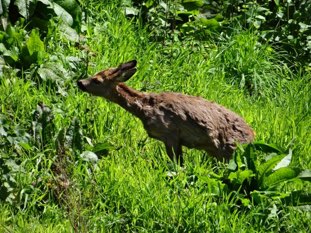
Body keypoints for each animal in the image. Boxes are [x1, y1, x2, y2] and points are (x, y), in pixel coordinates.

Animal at [78, 60, 256, 166]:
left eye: (97, 80)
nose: (80, 82)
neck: (144, 108)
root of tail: (252, 135)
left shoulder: (170, 134)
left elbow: (177, 165)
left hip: (231, 150)